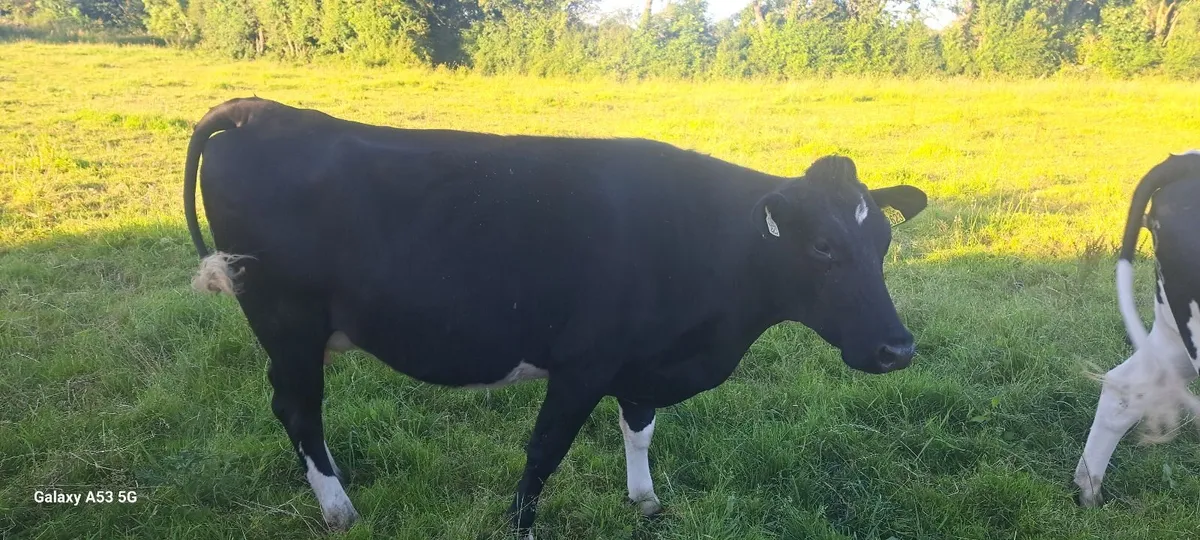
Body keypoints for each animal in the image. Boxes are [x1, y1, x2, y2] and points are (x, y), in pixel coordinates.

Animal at [182, 97, 929, 537]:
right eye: (823, 247)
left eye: (883, 243)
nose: (897, 349)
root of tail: (256, 110)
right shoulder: (583, 363)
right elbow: (544, 450)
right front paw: (520, 524)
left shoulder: (639, 358)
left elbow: (639, 428)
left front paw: (644, 500)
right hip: (286, 319)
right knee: (298, 408)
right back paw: (338, 507)